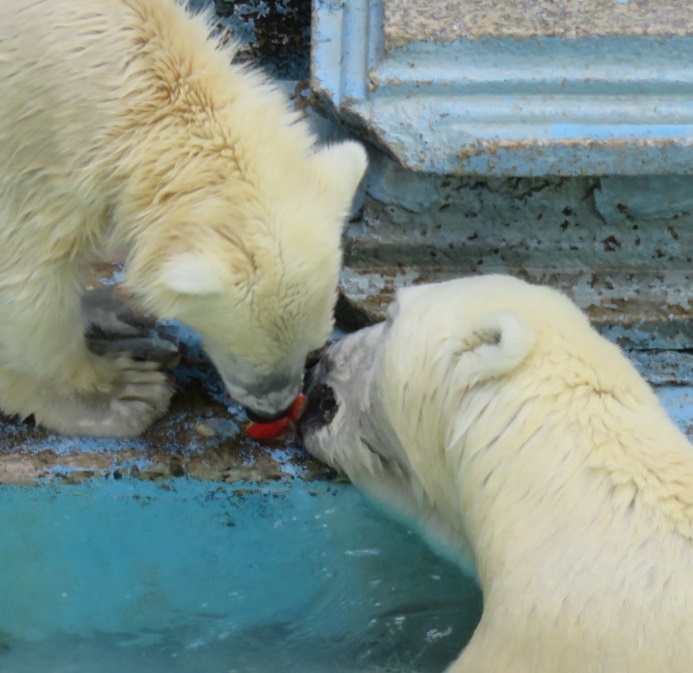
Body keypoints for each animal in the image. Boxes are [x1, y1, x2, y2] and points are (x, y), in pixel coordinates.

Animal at [0, 0, 368, 436]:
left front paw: (114, 316)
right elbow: (25, 279)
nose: (270, 414)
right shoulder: (39, 147)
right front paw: (122, 393)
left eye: (314, 347)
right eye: (246, 355)